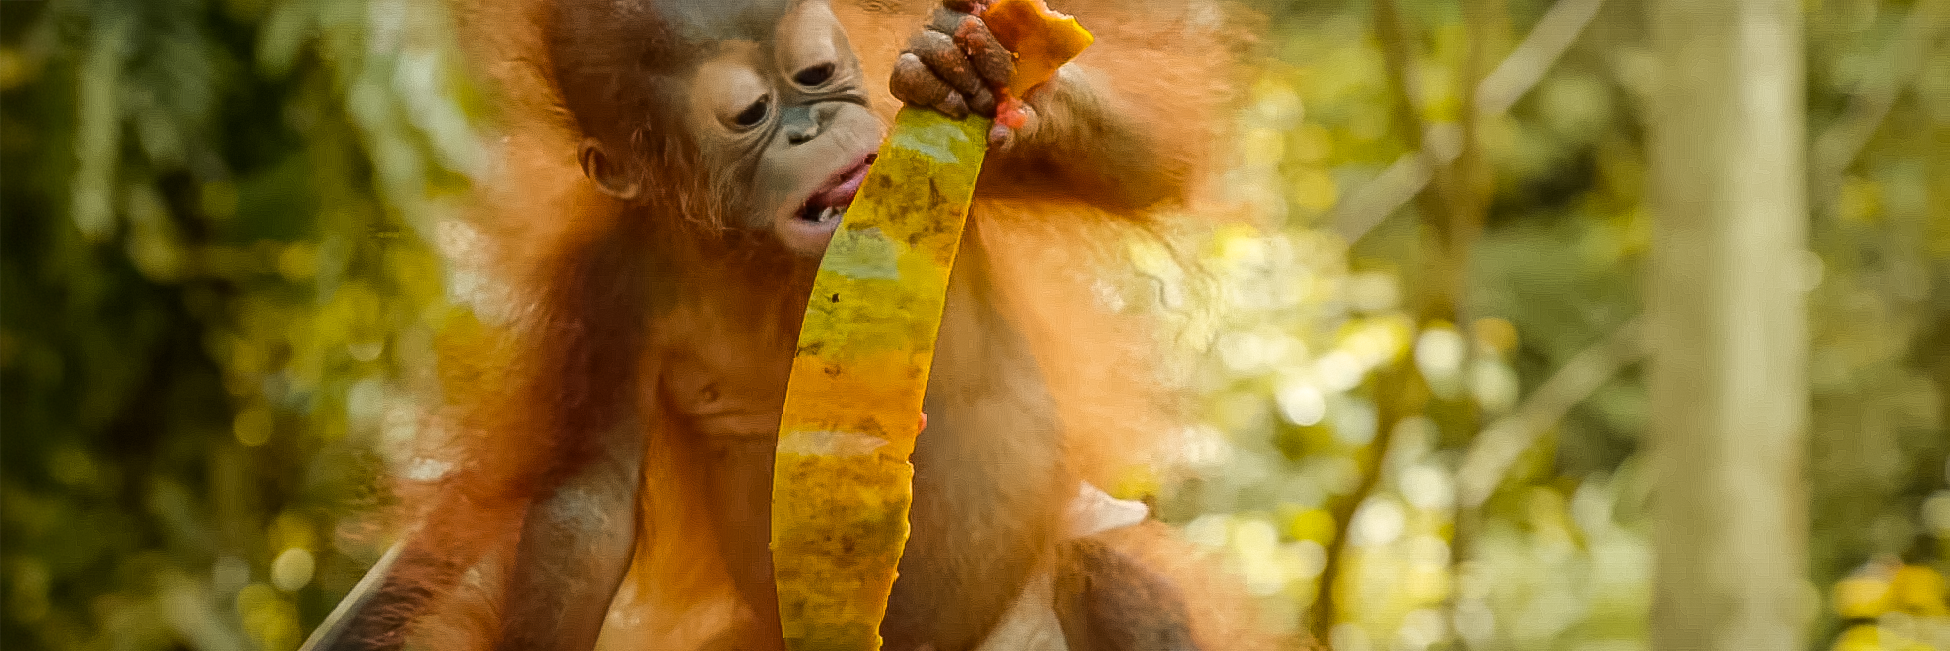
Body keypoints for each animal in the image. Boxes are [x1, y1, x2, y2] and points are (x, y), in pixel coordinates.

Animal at [300, 0, 1271, 650]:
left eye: (817, 76)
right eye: (751, 116)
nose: (816, 126)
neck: (769, 253)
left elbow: (1144, 169)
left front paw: (970, 59)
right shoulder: (606, 285)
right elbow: (588, 500)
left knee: (1121, 580)